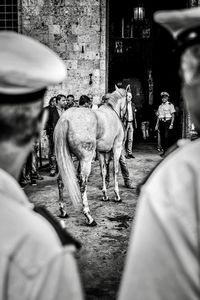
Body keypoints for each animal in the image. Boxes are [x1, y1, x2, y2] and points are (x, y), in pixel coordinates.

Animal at [54, 85, 127, 226]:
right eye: (129, 98)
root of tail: (66, 119)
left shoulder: (101, 152)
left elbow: (103, 172)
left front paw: (105, 195)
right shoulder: (117, 148)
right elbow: (115, 171)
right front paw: (117, 196)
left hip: (65, 158)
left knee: (60, 180)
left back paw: (63, 211)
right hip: (85, 159)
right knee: (83, 183)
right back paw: (89, 216)